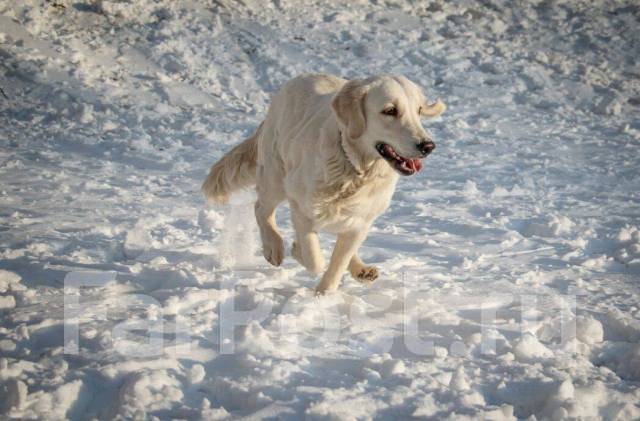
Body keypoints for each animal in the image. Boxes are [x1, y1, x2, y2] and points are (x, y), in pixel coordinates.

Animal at [204, 73, 444, 292]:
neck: (353, 168)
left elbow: (338, 263)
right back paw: (273, 248)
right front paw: (299, 252)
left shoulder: (361, 221)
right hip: (276, 176)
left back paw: (361, 269)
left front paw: (324, 295)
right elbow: (315, 259)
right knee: (261, 208)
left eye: (419, 111)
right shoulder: (302, 207)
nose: (428, 146)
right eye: (390, 111)